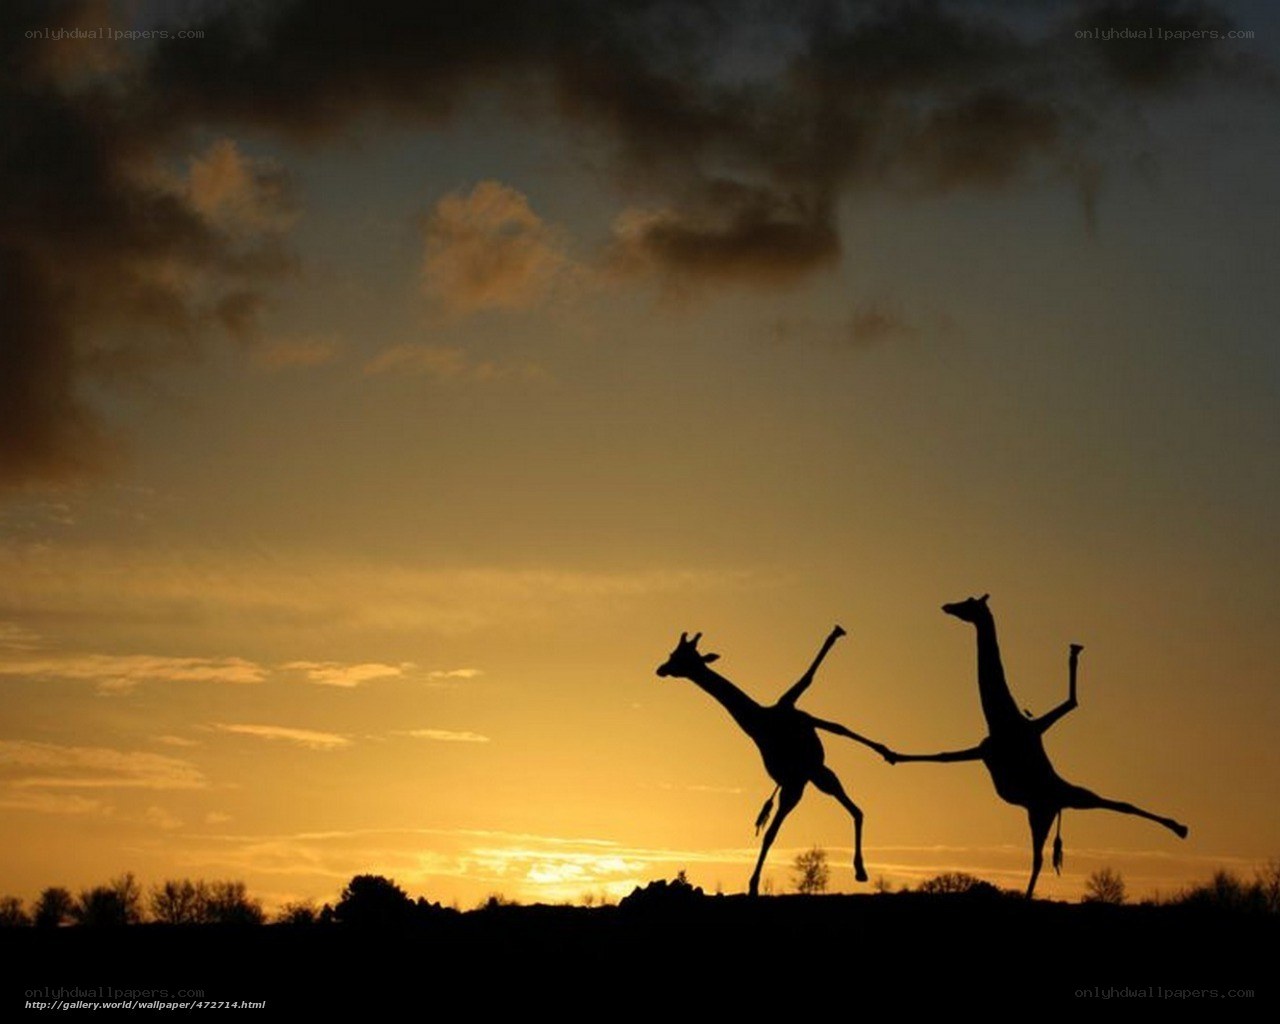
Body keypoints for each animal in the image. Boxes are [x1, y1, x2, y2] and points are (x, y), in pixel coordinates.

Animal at [656, 626, 893, 896]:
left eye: (680, 657)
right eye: (673, 654)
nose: (661, 669)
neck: (761, 723)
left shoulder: (797, 715)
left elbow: (831, 715)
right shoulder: (793, 777)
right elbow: (770, 834)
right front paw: (753, 885)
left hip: (812, 775)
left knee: (852, 807)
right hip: (811, 779)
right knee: (852, 810)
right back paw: (859, 870)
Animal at [888, 594, 1188, 898]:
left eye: (970, 603)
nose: (948, 606)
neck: (1002, 720)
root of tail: (1058, 804)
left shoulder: (1030, 731)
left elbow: (1071, 703)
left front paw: (1074, 651)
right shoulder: (984, 751)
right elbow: (943, 755)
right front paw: (887, 752)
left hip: (1048, 807)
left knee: (1098, 817)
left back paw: (1180, 828)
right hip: (1043, 810)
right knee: (1051, 848)